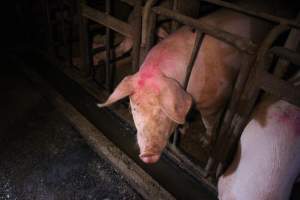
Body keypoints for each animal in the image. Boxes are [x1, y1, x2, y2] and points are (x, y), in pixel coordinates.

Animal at [96, 8, 272, 163]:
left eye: (163, 110)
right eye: (134, 108)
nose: (148, 155)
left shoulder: (216, 99)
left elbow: (209, 122)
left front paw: (204, 141)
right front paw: (184, 128)